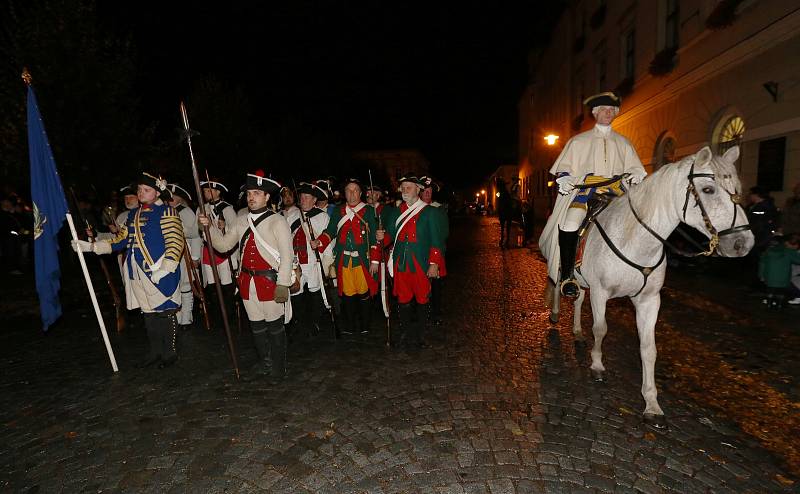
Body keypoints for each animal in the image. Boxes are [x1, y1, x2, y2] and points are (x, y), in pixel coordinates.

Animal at [544, 146, 756, 424]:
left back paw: (578, 331)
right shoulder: (601, 292)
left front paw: (652, 403)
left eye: (737, 190)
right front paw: (597, 365)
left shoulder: (649, 300)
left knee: (578, 298)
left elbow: (648, 349)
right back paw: (556, 314)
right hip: (563, 266)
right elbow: (600, 329)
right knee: (560, 286)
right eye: (709, 189)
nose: (743, 243)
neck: (635, 238)